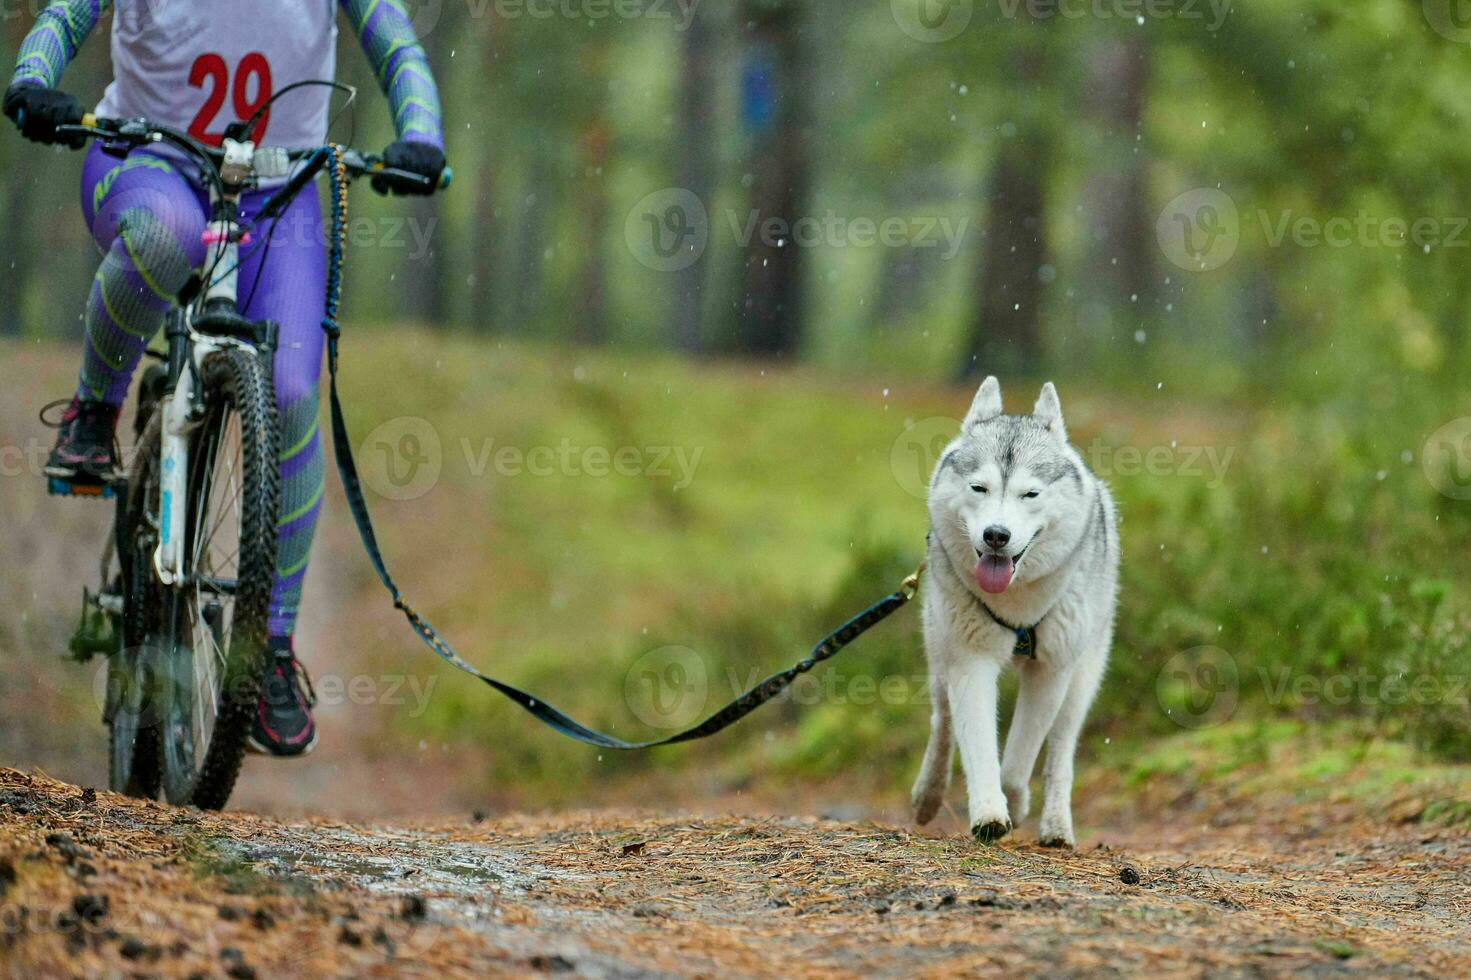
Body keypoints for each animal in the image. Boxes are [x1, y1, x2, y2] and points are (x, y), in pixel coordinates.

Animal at [912, 376, 1117, 841]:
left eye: (1030, 493)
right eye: (979, 488)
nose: (996, 535)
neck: (1017, 605)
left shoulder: (1051, 672)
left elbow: (1020, 757)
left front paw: (1016, 802)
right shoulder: (970, 662)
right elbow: (978, 747)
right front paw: (990, 814)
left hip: (1082, 680)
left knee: (1060, 751)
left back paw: (1056, 827)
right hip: (939, 653)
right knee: (941, 722)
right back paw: (928, 793)